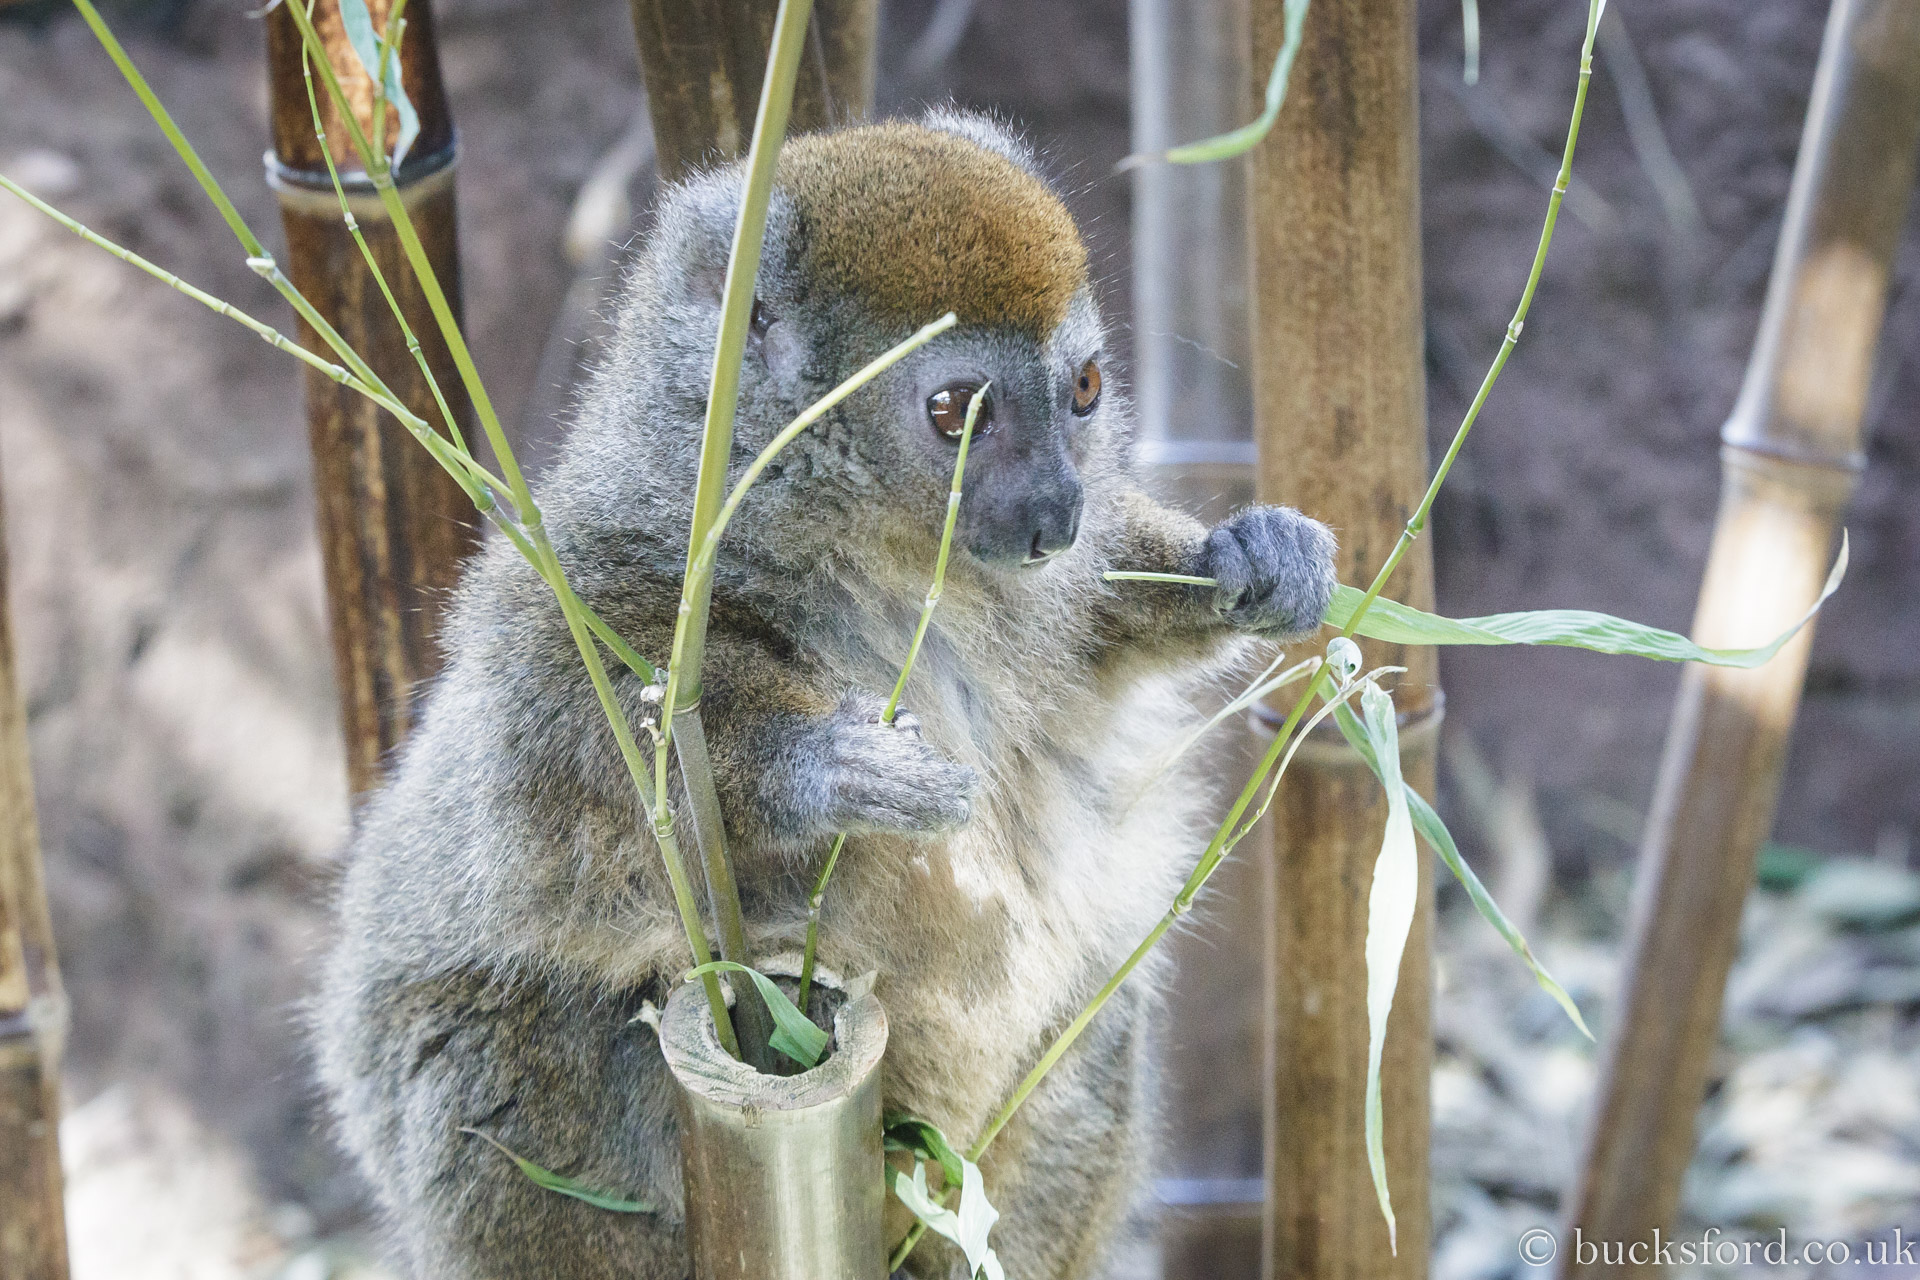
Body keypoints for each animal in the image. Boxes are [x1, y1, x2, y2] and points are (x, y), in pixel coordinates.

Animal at [313, 110, 1337, 1280]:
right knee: (512, 1047)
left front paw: (1242, 562)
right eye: (956, 411)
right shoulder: (592, 574)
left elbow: (1102, 633)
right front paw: (819, 769)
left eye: (1083, 390)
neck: (878, 553)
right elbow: (535, 781)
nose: (1056, 510)